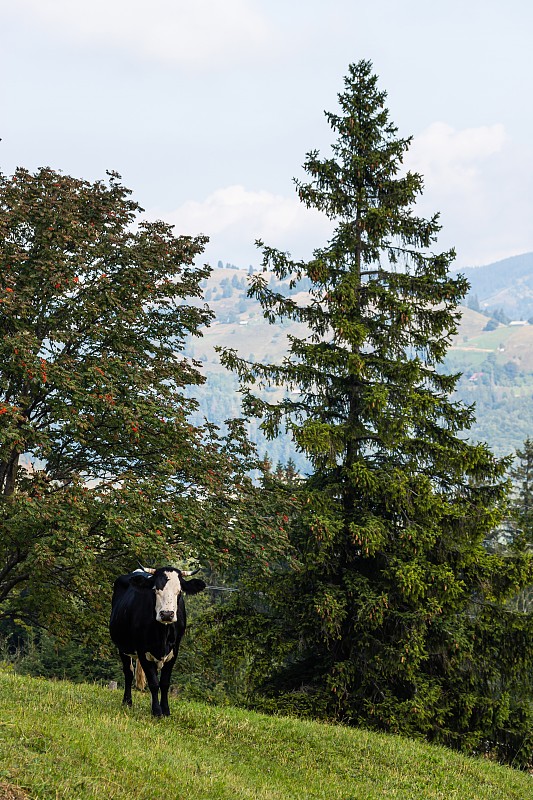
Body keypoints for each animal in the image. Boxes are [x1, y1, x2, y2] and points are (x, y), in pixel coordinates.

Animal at [109, 564, 205, 716]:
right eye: (155, 589)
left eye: (179, 592)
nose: (167, 614)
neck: (163, 635)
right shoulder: (143, 651)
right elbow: (154, 683)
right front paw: (156, 711)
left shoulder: (174, 651)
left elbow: (165, 683)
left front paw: (166, 710)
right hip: (122, 646)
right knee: (128, 673)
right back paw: (127, 702)